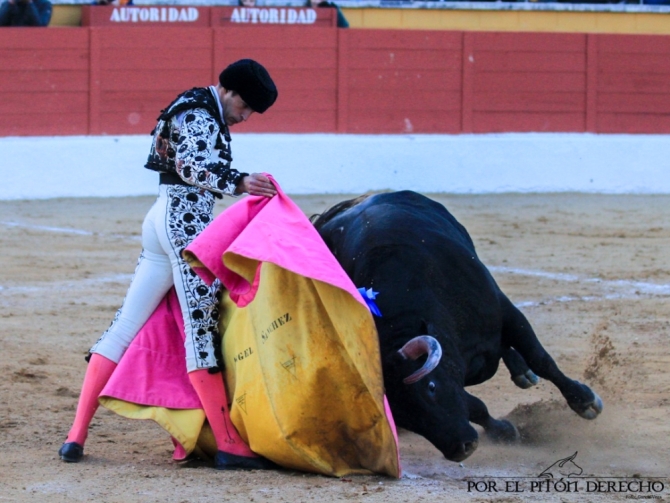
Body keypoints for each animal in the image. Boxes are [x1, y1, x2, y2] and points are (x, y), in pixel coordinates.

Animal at [312, 193, 608, 464]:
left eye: (431, 386)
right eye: (402, 414)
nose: (461, 448)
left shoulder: (504, 310)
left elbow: (541, 359)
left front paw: (585, 401)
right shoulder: (455, 364)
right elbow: (474, 406)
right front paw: (503, 431)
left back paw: (525, 372)